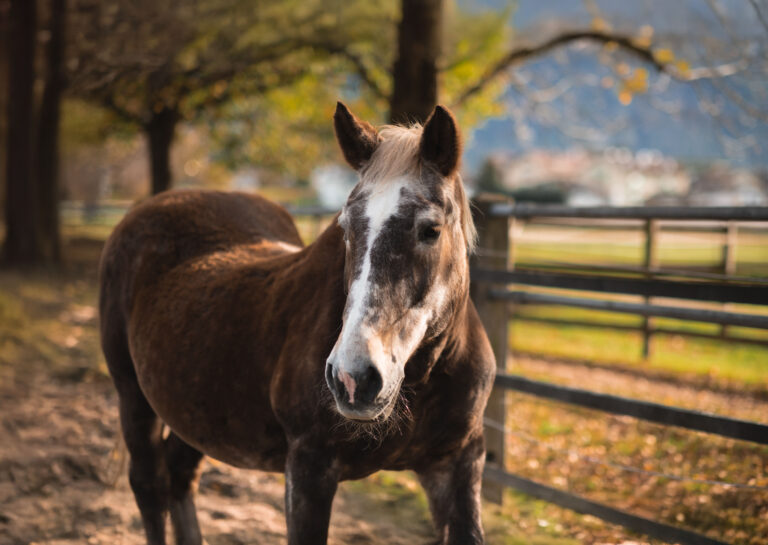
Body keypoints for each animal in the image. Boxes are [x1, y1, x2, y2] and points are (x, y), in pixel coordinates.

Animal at [99, 102, 496, 545]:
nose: (354, 378)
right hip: (132, 394)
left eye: (431, 230)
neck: (423, 380)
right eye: (346, 227)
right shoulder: (309, 468)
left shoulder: (457, 465)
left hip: (199, 405)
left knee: (179, 474)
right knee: (149, 484)